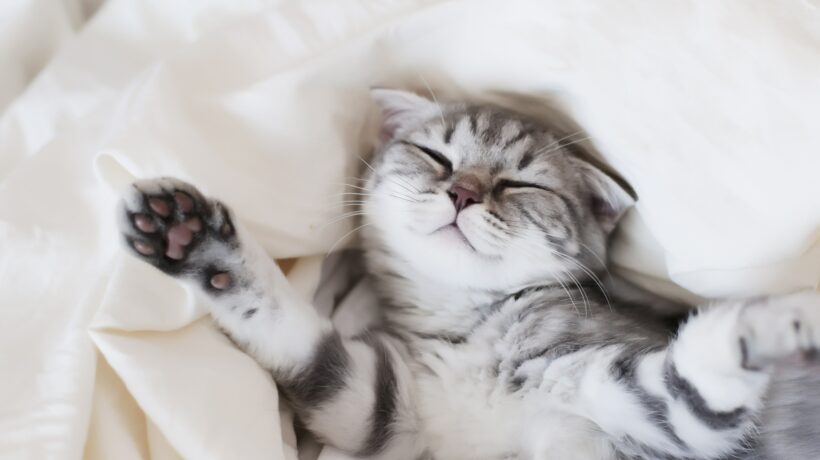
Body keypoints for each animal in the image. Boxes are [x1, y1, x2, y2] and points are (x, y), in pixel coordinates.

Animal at [118, 90, 820, 460]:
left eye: (522, 183)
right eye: (436, 156)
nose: (463, 192)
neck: (470, 330)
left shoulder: (668, 421)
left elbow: (696, 376)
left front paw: (777, 319)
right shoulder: (384, 404)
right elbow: (301, 345)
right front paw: (195, 240)